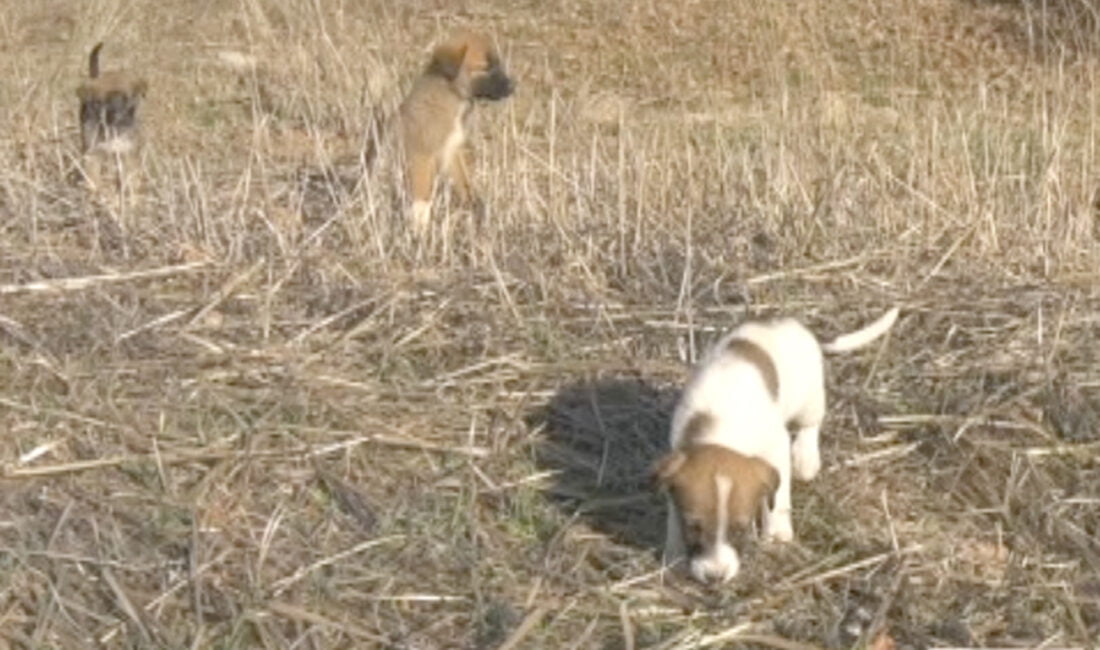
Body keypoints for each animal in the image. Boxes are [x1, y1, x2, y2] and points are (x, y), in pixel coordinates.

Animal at [398, 30, 512, 235]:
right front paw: (419, 227)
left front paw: (474, 206)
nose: (512, 86)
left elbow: (464, 183)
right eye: (485, 68)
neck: (451, 95)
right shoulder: (420, 154)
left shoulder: (452, 151)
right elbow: (421, 195)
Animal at [651, 305, 902, 585]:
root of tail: (794, 324)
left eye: (740, 529)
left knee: (810, 425)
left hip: (810, 398)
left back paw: (805, 459)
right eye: (693, 527)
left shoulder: (775, 447)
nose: (715, 578)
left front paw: (776, 534)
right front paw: (675, 551)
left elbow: (778, 497)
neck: (719, 430)